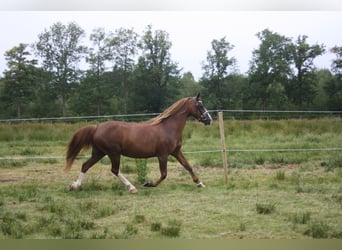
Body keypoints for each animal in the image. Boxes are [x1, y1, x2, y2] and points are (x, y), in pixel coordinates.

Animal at [65, 94, 211, 193]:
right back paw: (132, 187)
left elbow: (188, 166)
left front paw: (199, 183)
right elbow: (164, 174)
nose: (209, 120)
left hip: (99, 153)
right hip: (113, 153)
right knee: (114, 170)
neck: (168, 127)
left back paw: (74, 185)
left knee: (85, 165)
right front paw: (148, 183)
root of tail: (96, 127)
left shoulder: (176, 152)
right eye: (200, 105)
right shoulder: (163, 155)